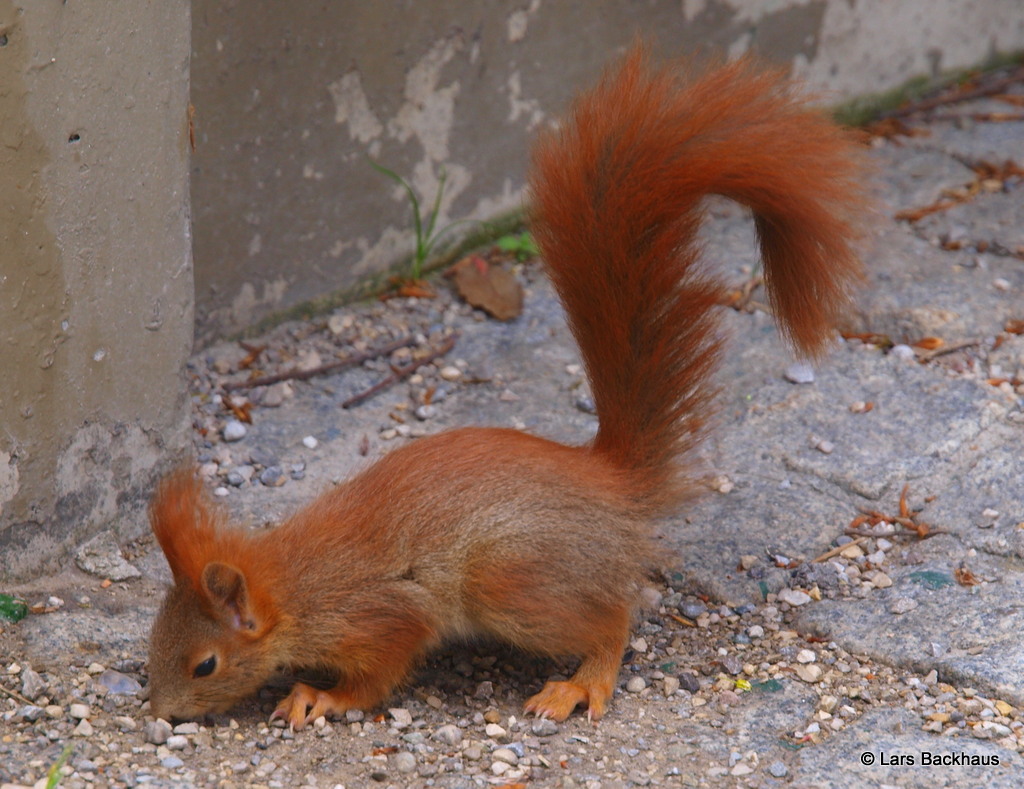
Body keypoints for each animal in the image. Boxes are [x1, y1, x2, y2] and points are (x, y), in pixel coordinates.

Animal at [146, 47, 864, 728]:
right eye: (153, 639)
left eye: (206, 664)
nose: (159, 711)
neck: (293, 586)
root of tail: (611, 483)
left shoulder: (380, 615)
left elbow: (380, 671)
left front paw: (318, 696)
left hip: (510, 580)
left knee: (612, 620)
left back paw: (581, 682)